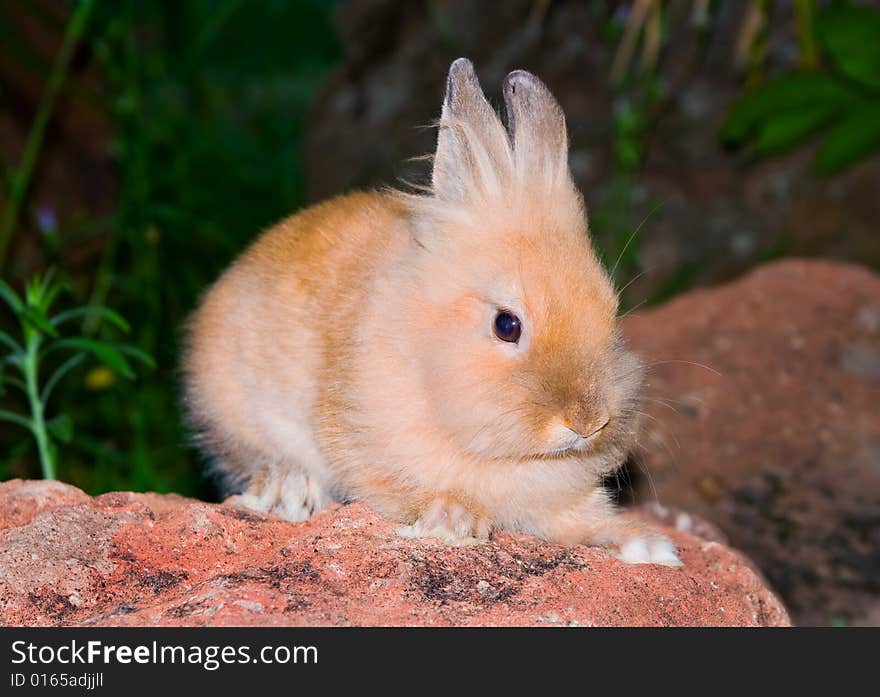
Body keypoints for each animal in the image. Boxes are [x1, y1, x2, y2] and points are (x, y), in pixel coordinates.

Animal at [184, 55, 680, 564]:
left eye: (611, 312)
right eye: (507, 325)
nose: (587, 422)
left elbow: (583, 520)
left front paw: (650, 546)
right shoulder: (368, 449)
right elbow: (403, 490)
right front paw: (455, 518)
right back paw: (289, 489)